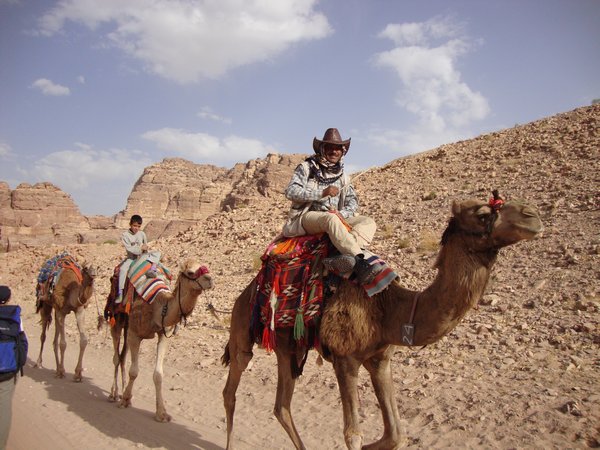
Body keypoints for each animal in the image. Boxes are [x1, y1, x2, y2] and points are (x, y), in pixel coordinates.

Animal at [113, 256, 214, 422]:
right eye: (190, 272)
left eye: (205, 267)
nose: (210, 279)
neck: (158, 308)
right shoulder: (135, 334)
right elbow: (134, 371)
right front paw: (125, 399)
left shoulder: (163, 334)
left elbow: (158, 375)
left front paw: (161, 413)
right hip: (118, 319)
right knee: (116, 357)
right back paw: (113, 394)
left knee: (122, 357)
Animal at [220, 198, 544, 450]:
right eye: (483, 213)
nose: (533, 215)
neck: (387, 308)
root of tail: (245, 292)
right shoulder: (345, 359)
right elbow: (353, 435)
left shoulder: (380, 358)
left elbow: (395, 434)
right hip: (242, 328)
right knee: (232, 386)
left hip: (289, 348)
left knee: (282, 406)